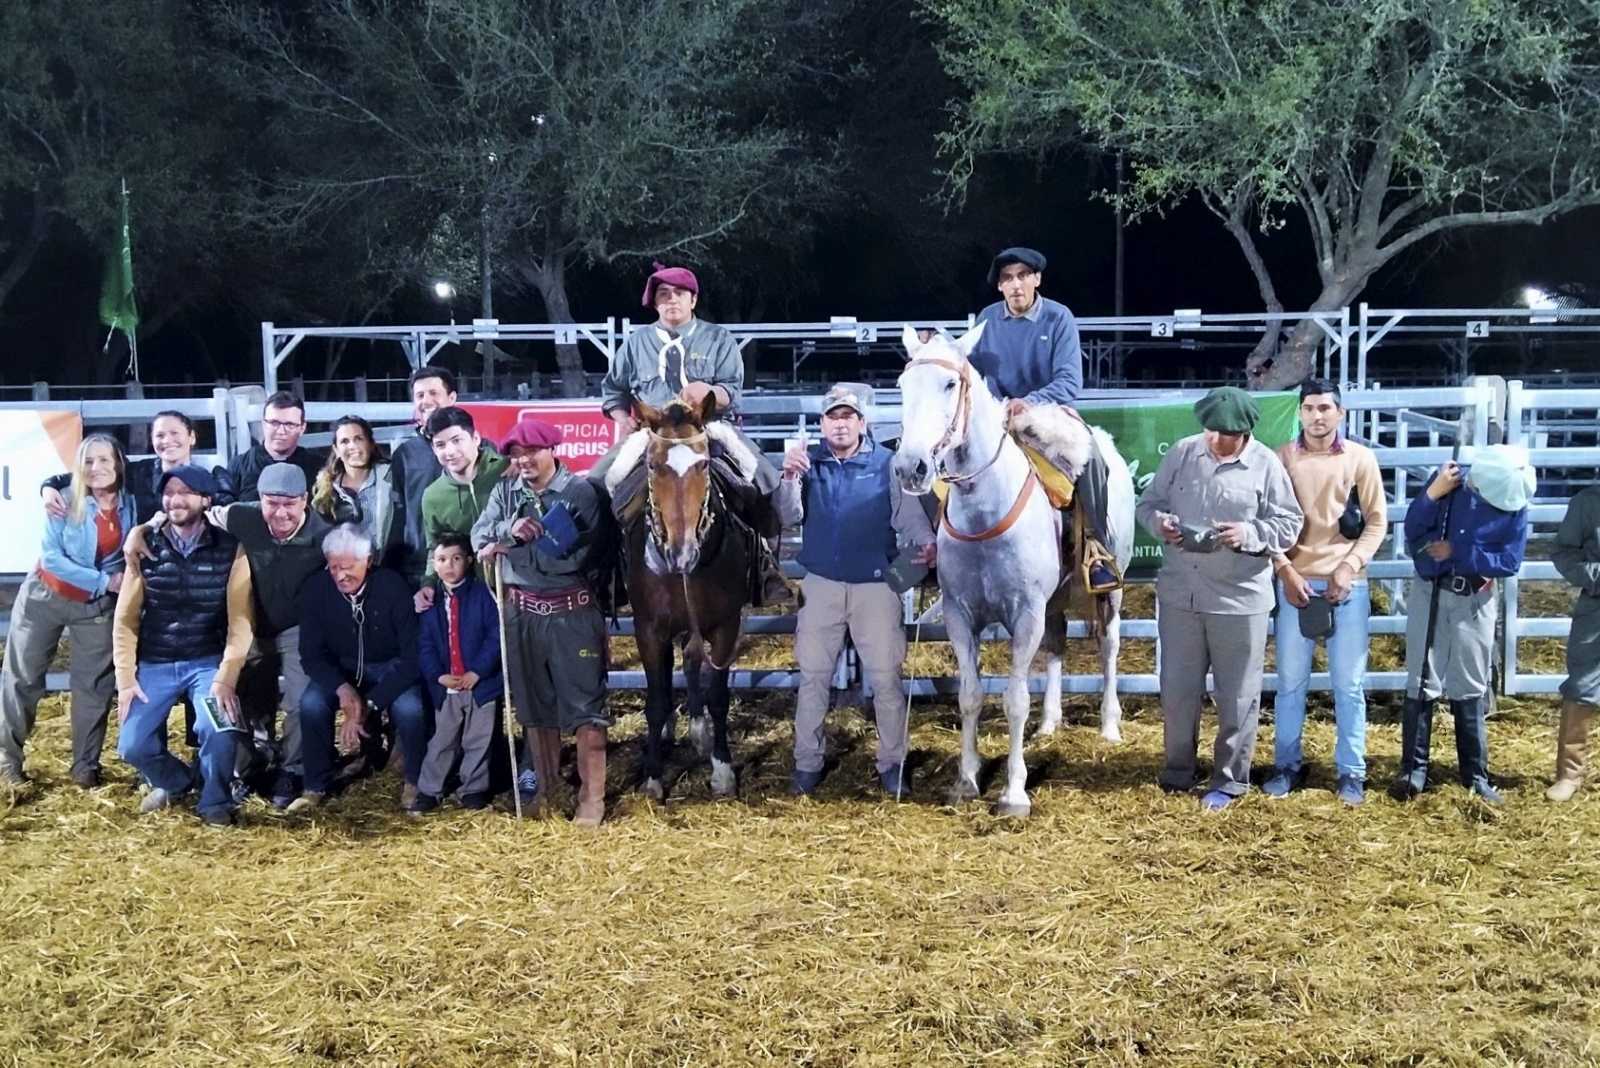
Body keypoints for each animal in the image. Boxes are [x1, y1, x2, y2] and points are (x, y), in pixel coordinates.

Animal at [624, 396, 748, 796]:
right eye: (652, 464)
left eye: (704, 462)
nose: (683, 551)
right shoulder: (647, 629)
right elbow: (656, 700)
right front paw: (652, 777)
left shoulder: (727, 626)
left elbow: (718, 697)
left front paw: (722, 770)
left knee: (691, 663)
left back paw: (699, 730)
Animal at [896, 326, 1132, 818]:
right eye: (902, 386)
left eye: (950, 384)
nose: (911, 467)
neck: (984, 512)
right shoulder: (960, 616)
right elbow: (969, 695)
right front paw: (966, 781)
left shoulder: (1024, 615)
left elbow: (1016, 700)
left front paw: (1014, 792)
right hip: (1054, 603)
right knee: (1058, 645)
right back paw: (1050, 724)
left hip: (1110, 591)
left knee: (1109, 648)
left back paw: (1109, 726)